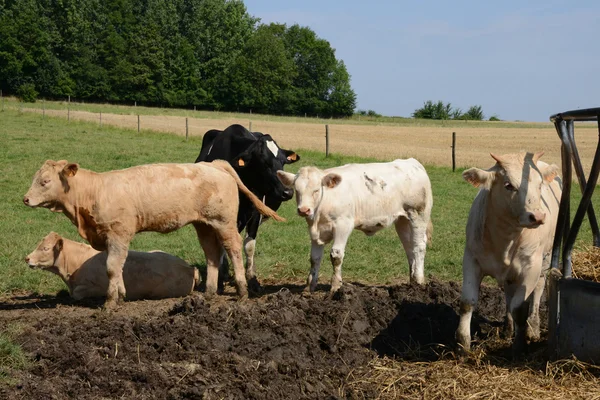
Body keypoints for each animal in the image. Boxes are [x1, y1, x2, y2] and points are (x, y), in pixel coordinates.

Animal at [196, 123, 300, 292]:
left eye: (283, 162)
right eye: (264, 163)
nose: (287, 192)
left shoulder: (256, 212)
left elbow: (249, 246)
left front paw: (252, 280)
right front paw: (220, 280)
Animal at [278, 159, 434, 294]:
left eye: (316, 190)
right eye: (297, 190)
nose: (304, 210)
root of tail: (412, 162)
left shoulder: (343, 225)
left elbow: (336, 255)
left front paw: (336, 287)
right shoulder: (316, 233)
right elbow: (314, 258)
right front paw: (309, 288)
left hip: (418, 215)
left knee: (419, 247)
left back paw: (419, 281)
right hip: (402, 221)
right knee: (409, 247)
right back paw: (412, 282)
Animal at [460, 152, 564, 354]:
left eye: (539, 184)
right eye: (508, 185)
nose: (537, 217)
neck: (505, 238)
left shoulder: (531, 269)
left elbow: (519, 308)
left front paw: (519, 345)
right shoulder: (471, 259)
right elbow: (468, 302)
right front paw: (463, 346)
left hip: (545, 260)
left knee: (538, 291)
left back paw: (533, 327)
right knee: (508, 292)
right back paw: (508, 328)